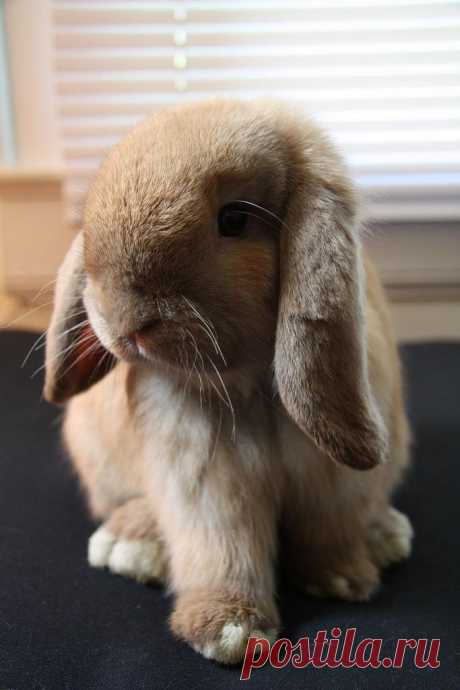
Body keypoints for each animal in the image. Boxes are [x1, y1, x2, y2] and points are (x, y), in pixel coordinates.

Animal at [44, 99, 414, 664]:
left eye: (234, 219)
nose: (125, 321)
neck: (251, 387)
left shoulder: (333, 479)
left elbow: (329, 527)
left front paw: (342, 578)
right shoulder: (203, 475)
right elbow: (221, 544)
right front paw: (228, 631)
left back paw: (385, 533)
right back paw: (131, 544)